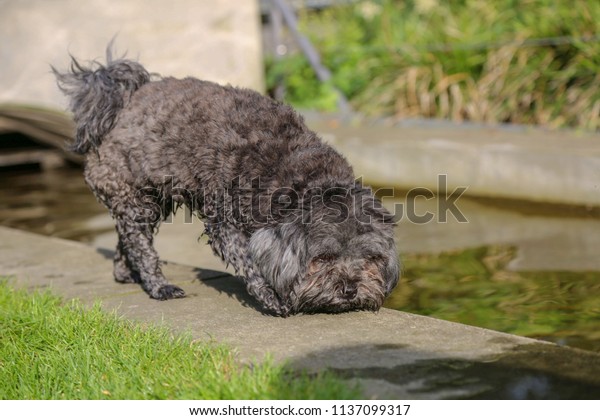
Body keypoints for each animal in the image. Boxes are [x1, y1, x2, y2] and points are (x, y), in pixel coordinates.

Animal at [51, 49, 398, 316]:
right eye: (323, 258)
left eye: (371, 258)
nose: (350, 289)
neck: (293, 171)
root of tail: (125, 99)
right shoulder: (225, 224)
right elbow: (250, 261)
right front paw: (274, 298)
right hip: (131, 194)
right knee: (140, 244)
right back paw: (159, 286)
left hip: (152, 200)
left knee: (128, 237)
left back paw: (125, 273)